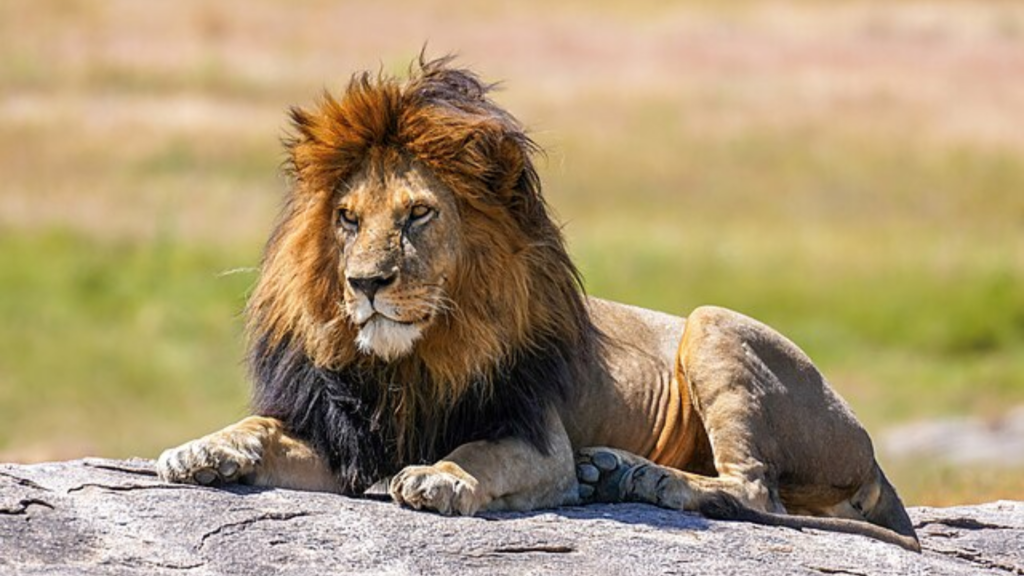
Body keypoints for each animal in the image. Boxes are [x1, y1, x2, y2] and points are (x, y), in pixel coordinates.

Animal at [156, 56, 920, 552]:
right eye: (347, 219)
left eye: (418, 215)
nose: (365, 283)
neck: (412, 362)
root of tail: (872, 453)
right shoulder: (344, 441)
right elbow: (259, 427)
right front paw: (203, 450)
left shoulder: (537, 438)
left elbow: (478, 454)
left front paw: (440, 477)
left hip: (712, 325)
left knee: (753, 490)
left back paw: (632, 475)